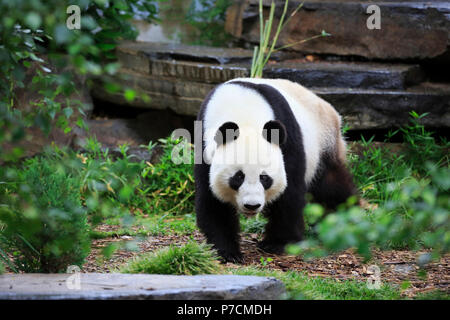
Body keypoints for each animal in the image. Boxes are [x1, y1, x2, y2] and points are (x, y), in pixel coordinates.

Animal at [195, 77, 356, 262]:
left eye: (264, 178)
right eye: (238, 177)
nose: (252, 205)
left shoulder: (287, 137)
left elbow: (289, 193)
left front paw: (277, 243)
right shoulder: (204, 147)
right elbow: (213, 200)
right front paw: (227, 251)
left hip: (324, 143)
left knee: (330, 187)